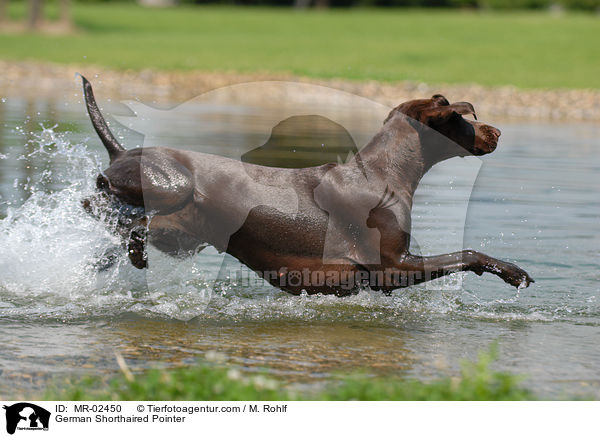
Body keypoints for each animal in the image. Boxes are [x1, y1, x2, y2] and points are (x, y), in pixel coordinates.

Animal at [81, 76, 536, 294]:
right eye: (463, 117)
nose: (497, 131)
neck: (383, 172)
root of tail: (120, 153)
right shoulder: (393, 268)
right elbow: (469, 253)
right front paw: (513, 272)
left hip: (179, 235)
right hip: (174, 186)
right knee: (116, 212)